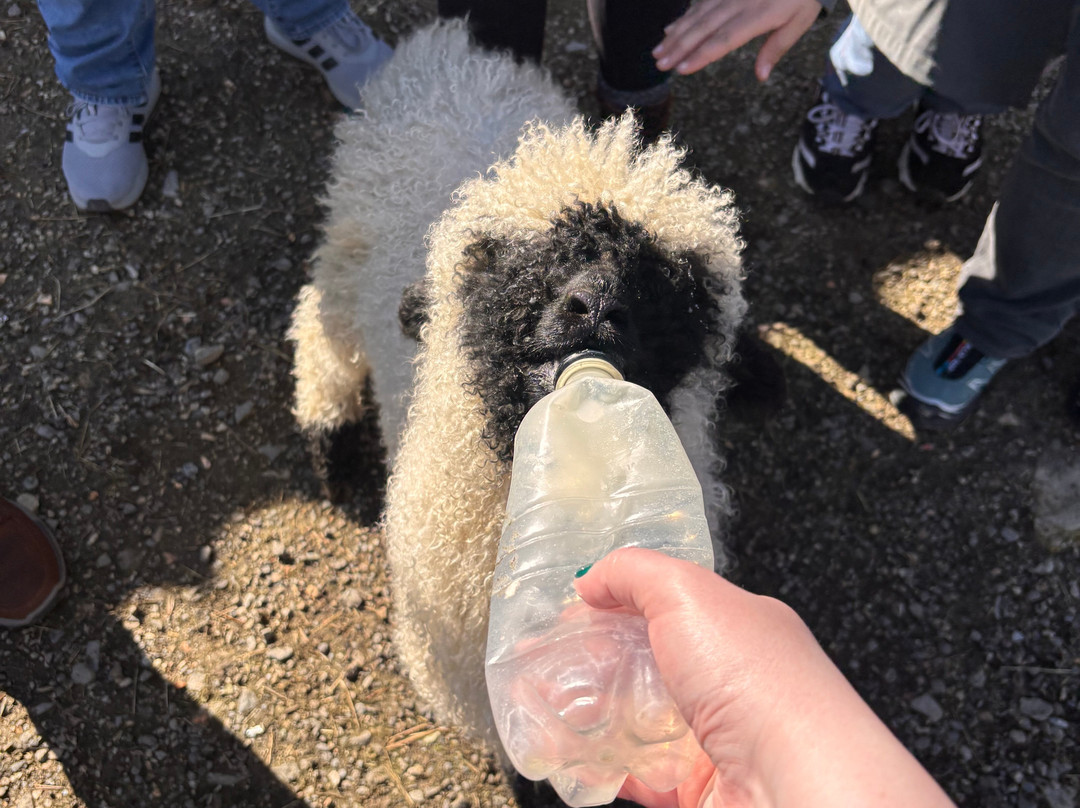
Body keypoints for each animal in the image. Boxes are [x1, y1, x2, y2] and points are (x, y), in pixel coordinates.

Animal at [288, 20, 747, 753]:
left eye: (670, 285)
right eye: (517, 263)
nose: (598, 303)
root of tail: (457, 49)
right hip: (346, 253)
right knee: (316, 322)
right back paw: (332, 445)